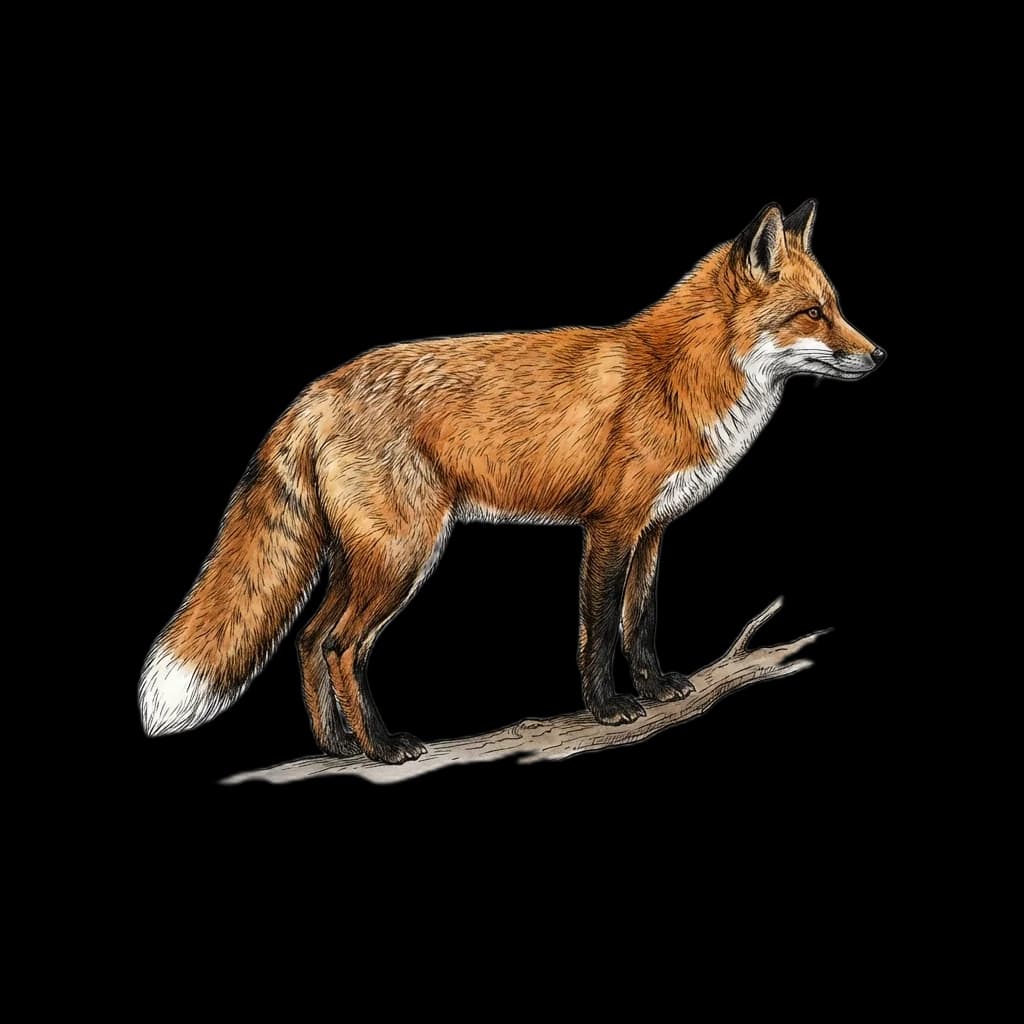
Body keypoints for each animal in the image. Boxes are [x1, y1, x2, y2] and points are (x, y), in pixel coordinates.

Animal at [140, 200, 884, 764]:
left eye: (837, 306)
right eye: (813, 315)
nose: (878, 355)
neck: (678, 375)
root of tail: (315, 392)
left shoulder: (653, 531)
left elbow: (639, 620)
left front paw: (654, 687)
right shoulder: (609, 527)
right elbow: (597, 630)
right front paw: (609, 708)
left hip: (367, 562)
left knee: (308, 640)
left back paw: (338, 747)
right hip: (403, 558)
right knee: (341, 646)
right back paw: (381, 748)